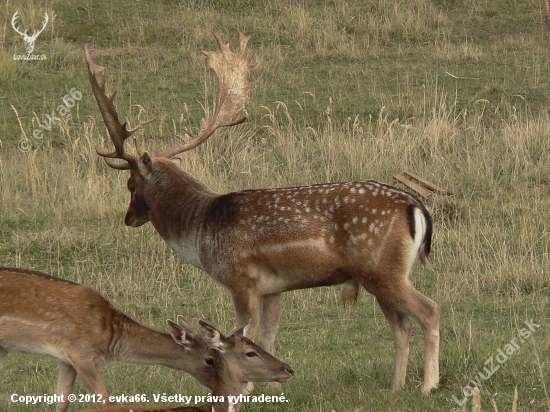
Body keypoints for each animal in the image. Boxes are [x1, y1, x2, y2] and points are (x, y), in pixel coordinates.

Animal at [85, 32, 440, 392]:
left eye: (130, 185)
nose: (128, 218)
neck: (201, 231)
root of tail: (417, 207)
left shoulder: (241, 279)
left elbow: (244, 333)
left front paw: (245, 386)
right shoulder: (274, 288)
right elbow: (269, 336)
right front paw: (275, 387)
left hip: (380, 268)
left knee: (429, 311)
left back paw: (428, 385)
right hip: (381, 274)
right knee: (402, 325)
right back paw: (395, 387)